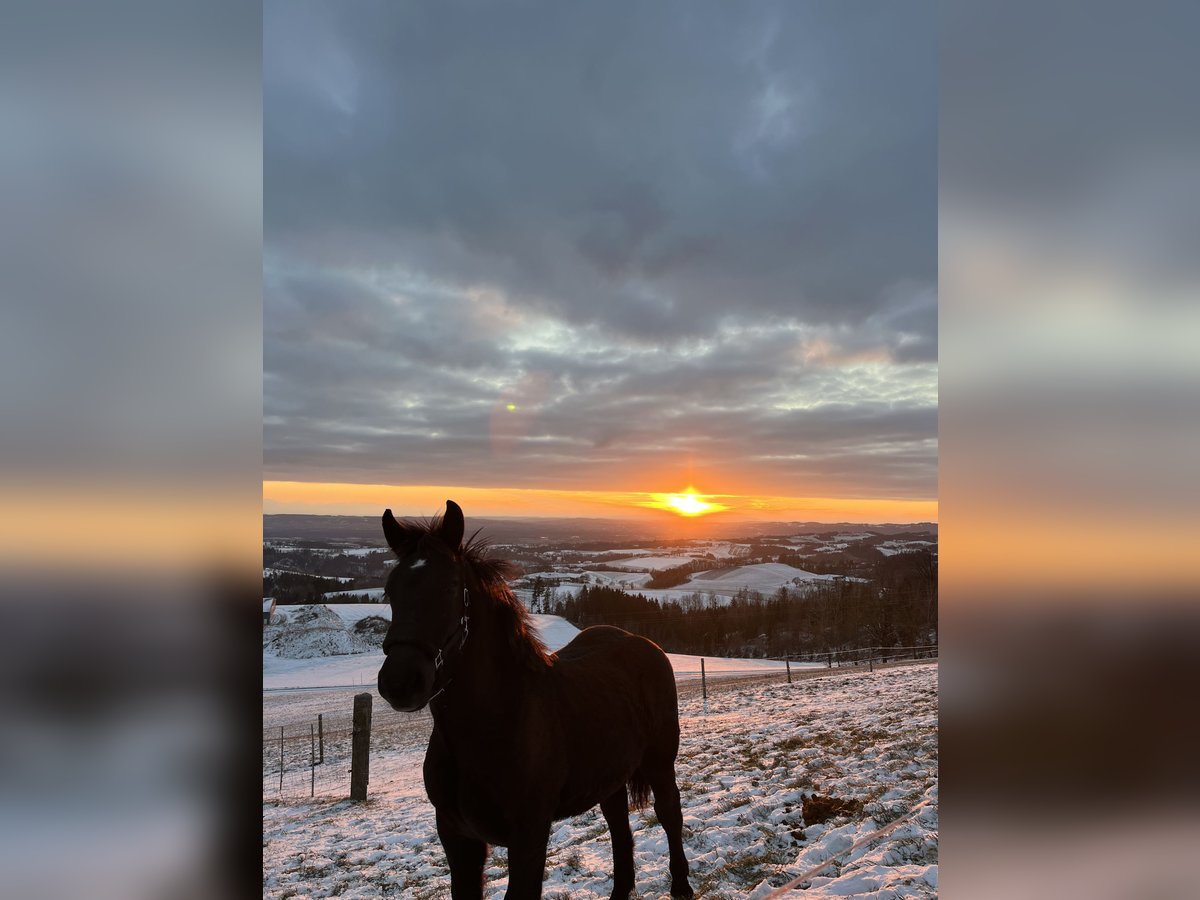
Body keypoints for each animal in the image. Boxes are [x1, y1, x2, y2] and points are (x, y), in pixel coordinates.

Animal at [374, 504, 696, 897]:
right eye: (390, 589)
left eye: (450, 586)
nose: (400, 683)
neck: (494, 724)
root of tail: (644, 643)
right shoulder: (457, 838)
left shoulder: (529, 836)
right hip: (609, 775)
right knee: (619, 827)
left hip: (659, 763)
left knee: (670, 814)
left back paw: (681, 885)